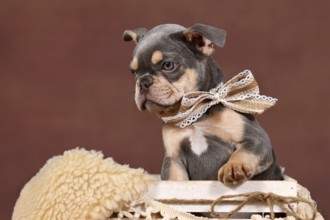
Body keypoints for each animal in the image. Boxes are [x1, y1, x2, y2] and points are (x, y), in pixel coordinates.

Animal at [122, 24, 282, 185]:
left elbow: (242, 153)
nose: (142, 82)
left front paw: (233, 167)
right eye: (133, 72)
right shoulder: (174, 160)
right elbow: (175, 181)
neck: (195, 112)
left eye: (168, 65)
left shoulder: (256, 141)